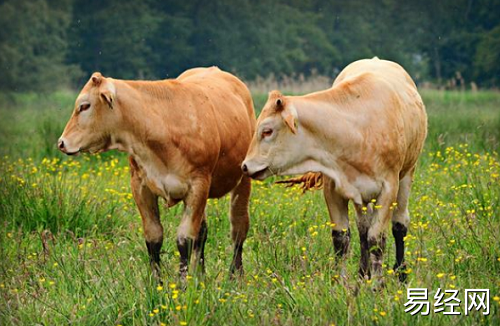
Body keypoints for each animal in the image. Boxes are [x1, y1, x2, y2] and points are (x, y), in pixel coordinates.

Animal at [58, 67, 256, 278]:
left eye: (84, 106)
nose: (61, 142)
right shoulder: (140, 186)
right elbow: (154, 239)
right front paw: (157, 282)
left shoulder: (198, 186)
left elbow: (185, 239)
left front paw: (183, 282)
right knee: (202, 233)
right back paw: (200, 276)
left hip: (243, 180)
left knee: (238, 228)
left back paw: (235, 276)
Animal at [241, 57, 426, 282]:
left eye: (267, 131)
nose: (245, 166)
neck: (356, 128)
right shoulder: (333, 189)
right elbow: (341, 238)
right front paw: (341, 281)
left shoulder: (388, 189)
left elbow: (377, 240)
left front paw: (377, 284)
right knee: (363, 228)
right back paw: (363, 272)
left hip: (407, 175)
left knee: (399, 224)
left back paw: (400, 273)